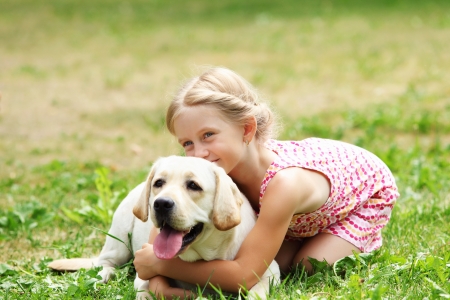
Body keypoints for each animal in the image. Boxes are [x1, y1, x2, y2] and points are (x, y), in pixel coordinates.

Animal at [50, 156, 282, 298]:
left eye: (193, 185)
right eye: (158, 183)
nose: (161, 204)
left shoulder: (270, 270)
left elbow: (257, 291)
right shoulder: (144, 275)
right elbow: (146, 289)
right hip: (118, 239)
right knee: (105, 263)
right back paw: (103, 275)